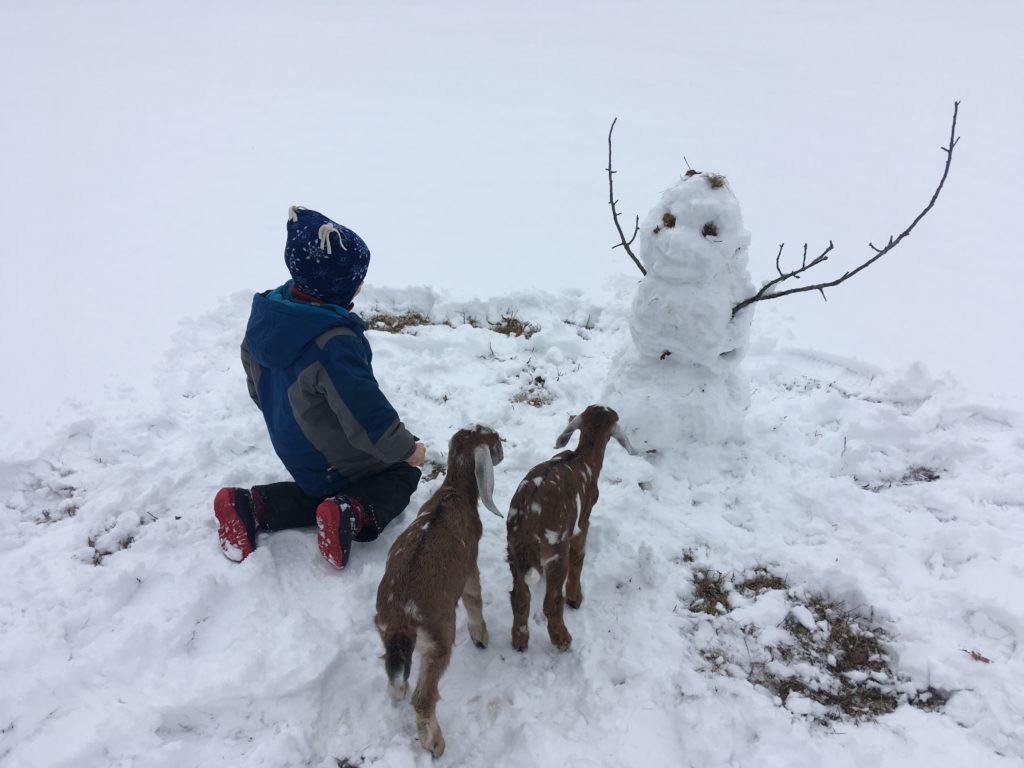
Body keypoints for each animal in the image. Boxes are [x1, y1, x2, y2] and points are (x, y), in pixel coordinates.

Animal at [374, 423, 505, 761]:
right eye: (494, 442)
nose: (502, 452)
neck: (453, 493)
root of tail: (402, 619)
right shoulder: (470, 563)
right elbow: (474, 598)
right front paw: (481, 636)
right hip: (439, 640)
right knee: (423, 699)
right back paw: (435, 743)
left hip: (386, 633)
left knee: (393, 671)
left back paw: (398, 690)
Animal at [503, 405, 630, 651]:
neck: (584, 457)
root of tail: (528, 525)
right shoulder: (582, 524)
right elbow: (578, 558)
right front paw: (575, 598)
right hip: (556, 549)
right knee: (551, 601)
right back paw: (562, 639)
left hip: (513, 551)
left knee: (520, 597)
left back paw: (519, 641)